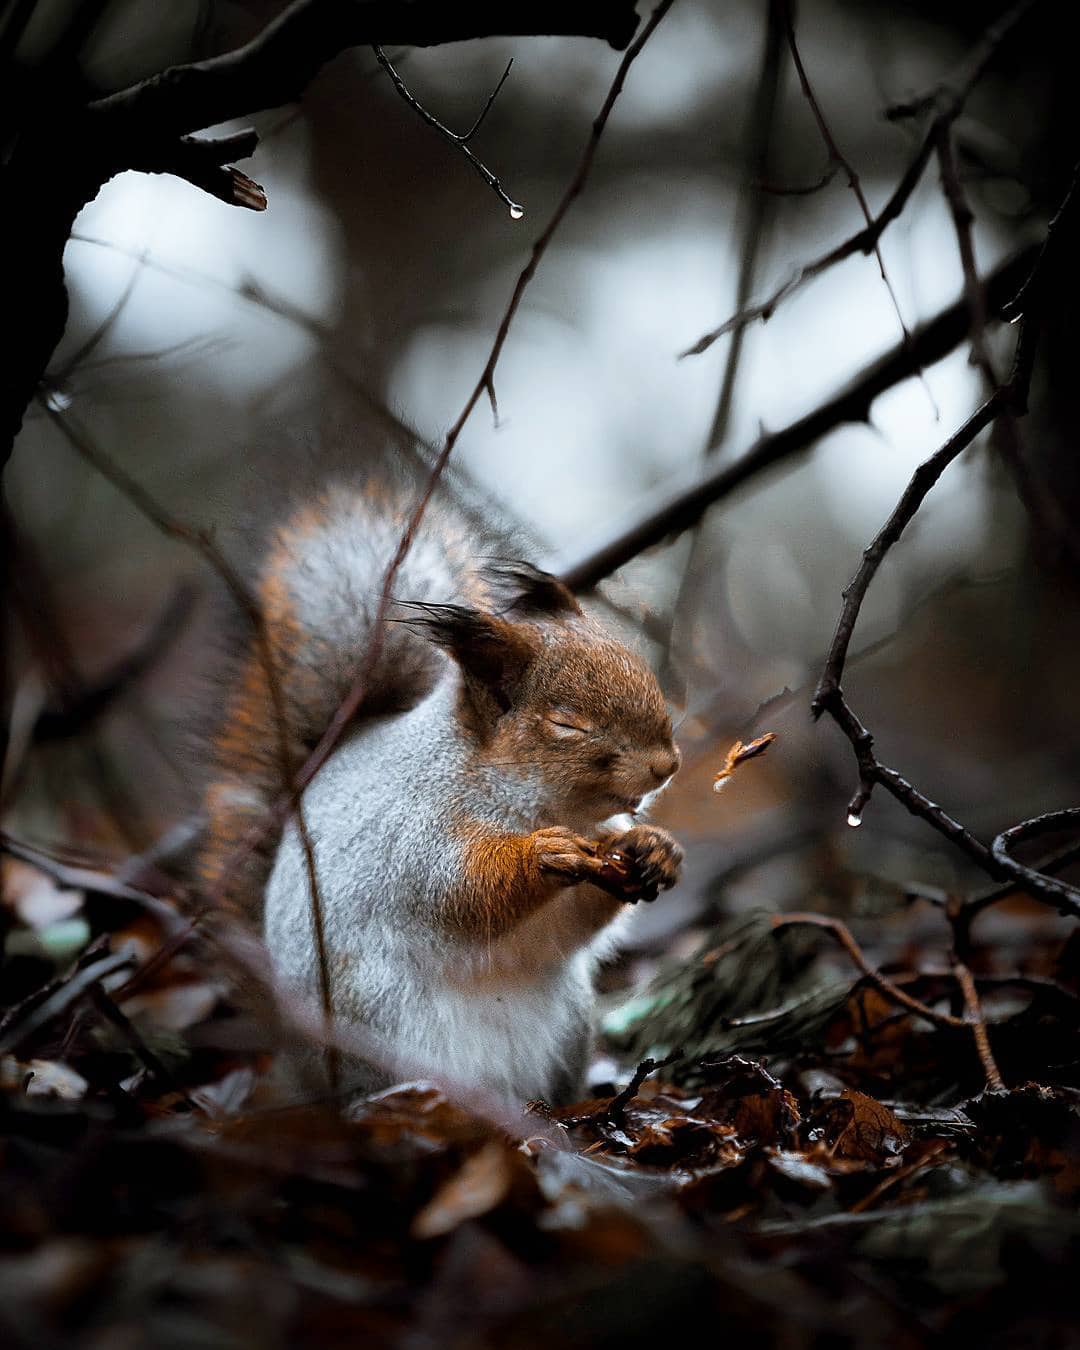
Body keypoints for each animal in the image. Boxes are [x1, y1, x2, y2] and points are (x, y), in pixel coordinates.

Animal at [198, 475, 680, 1107]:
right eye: (567, 724)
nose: (667, 765)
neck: (538, 803)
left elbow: (579, 918)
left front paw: (654, 849)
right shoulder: (412, 829)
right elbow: (460, 889)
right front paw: (543, 855)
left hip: (569, 1023)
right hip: (382, 1025)